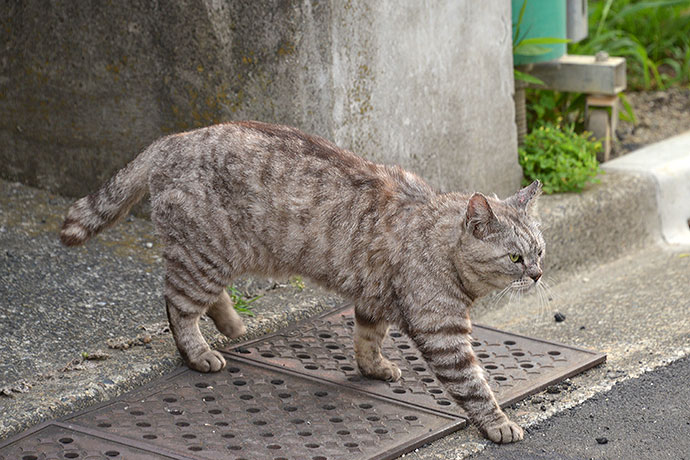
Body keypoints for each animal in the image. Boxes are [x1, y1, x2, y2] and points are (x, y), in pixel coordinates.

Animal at [60, 120, 544, 444]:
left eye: (539, 251)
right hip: (204, 258)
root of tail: (170, 140)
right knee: (177, 306)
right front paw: (500, 424)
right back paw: (199, 352)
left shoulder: (373, 296)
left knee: (200, 299)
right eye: (515, 258)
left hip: (214, 260)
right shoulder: (443, 333)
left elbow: (367, 337)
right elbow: (475, 386)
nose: (538, 274)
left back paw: (232, 324)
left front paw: (373, 367)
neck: (437, 237)